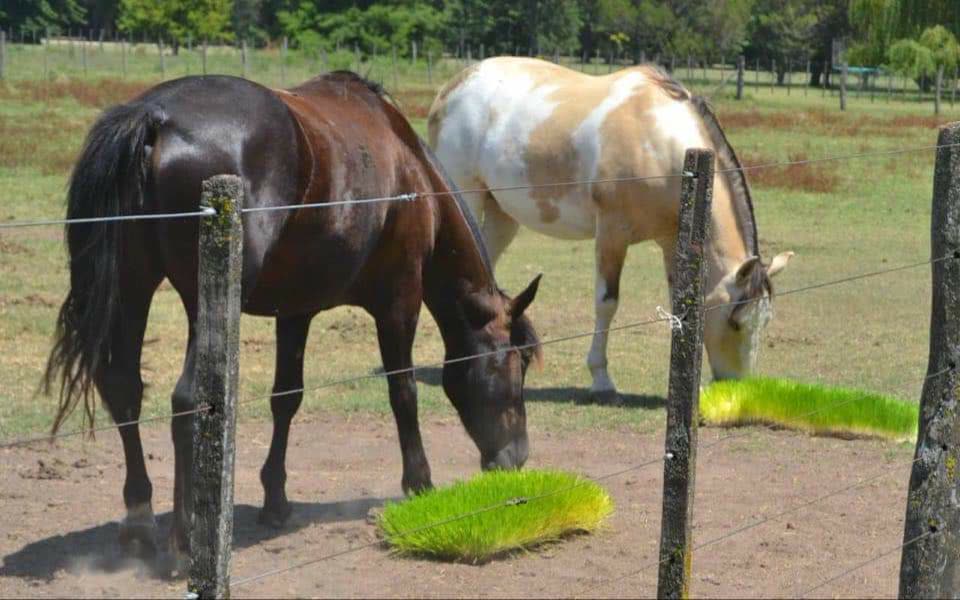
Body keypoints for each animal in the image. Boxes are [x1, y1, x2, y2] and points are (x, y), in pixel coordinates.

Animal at [44, 71, 542, 565]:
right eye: (516, 365)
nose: (516, 458)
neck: (411, 173)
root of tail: (155, 118)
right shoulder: (399, 303)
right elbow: (403, 392)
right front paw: (420, 483)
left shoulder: (296, 312)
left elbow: (286, 397)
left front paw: (276, 500)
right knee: (185, 400)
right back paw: (184, 541)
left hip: (132, 286)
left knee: (124, 389)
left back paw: (140, 522)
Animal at [428, 57, 793, 405]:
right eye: (735, 321)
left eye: (766, 321)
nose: (738, 390)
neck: (660, 143)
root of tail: (452, 89)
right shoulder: (612, 234)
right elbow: (607, 303)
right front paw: (602, 381)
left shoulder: (671, 241)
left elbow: (679, 305)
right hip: (466, 199)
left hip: (502, 215)